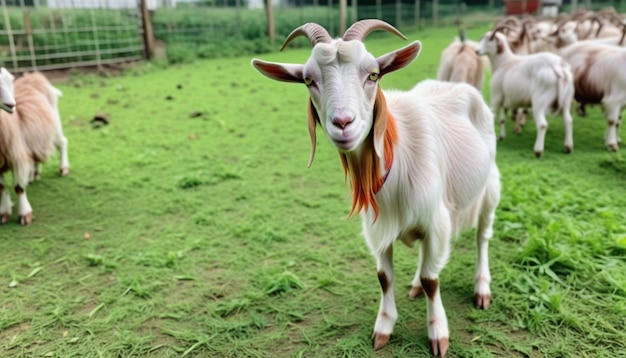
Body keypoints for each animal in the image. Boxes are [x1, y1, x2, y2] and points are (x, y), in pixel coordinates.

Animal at [0, 68, 68, 224]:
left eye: (10, 80)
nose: (11, 105)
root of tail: (34, 75)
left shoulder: (16, 156)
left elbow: (18, 187)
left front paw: (25, 215)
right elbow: (1, 187)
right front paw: (4, 213)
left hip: (54, 124)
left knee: (62, 142)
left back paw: (63, 169)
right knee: (34, 154)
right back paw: (34, 174)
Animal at [251, 20, 500, 358]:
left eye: (373, 75)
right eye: (308, 80)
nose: (343, 123)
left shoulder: (436, 219)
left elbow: (432, 279)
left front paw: (438, 333)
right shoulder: (377, 227)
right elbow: (385, 277)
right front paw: (384, 327)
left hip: (489, 187)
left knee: (482, 237)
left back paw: (482, 287)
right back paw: (415, 285)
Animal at [476, 28, 572, 157]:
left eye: (490, 39)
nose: (477, 51)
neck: (503, 62)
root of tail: (557, 67)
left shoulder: (496, 96)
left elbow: (492, 117)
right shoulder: (505, 100)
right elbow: (502, 119)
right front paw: (501, 137)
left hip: (540, 101)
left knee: (542, 124)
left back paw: (538, 151)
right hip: (567, 99)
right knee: (568, 120)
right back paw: (568, 147)